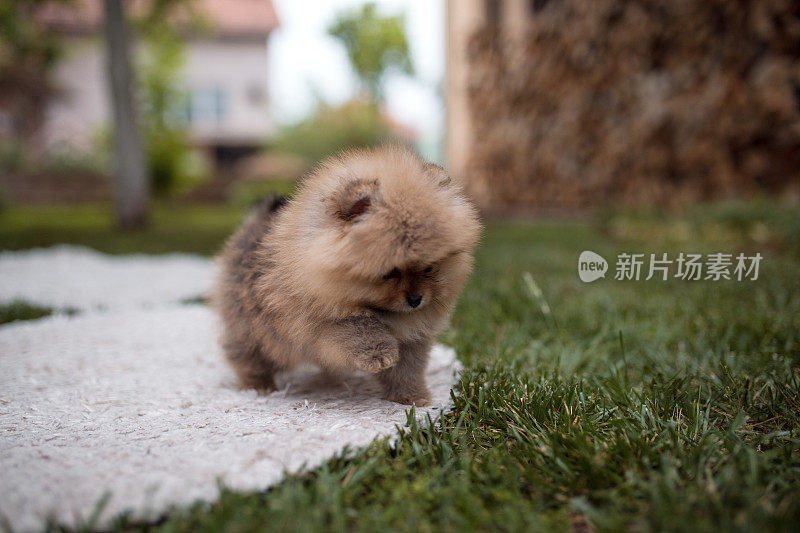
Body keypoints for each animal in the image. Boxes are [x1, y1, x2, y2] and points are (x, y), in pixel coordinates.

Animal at [212, 144, 482, 404]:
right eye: (389, 272)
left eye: (429, 267)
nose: (416, 300)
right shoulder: (321, 321)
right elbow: (357, 328)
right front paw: (377, 353)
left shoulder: (413, 339)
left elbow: (407, 369)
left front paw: (411, 396)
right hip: (250, 328)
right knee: (246, 355)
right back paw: (258, 385)